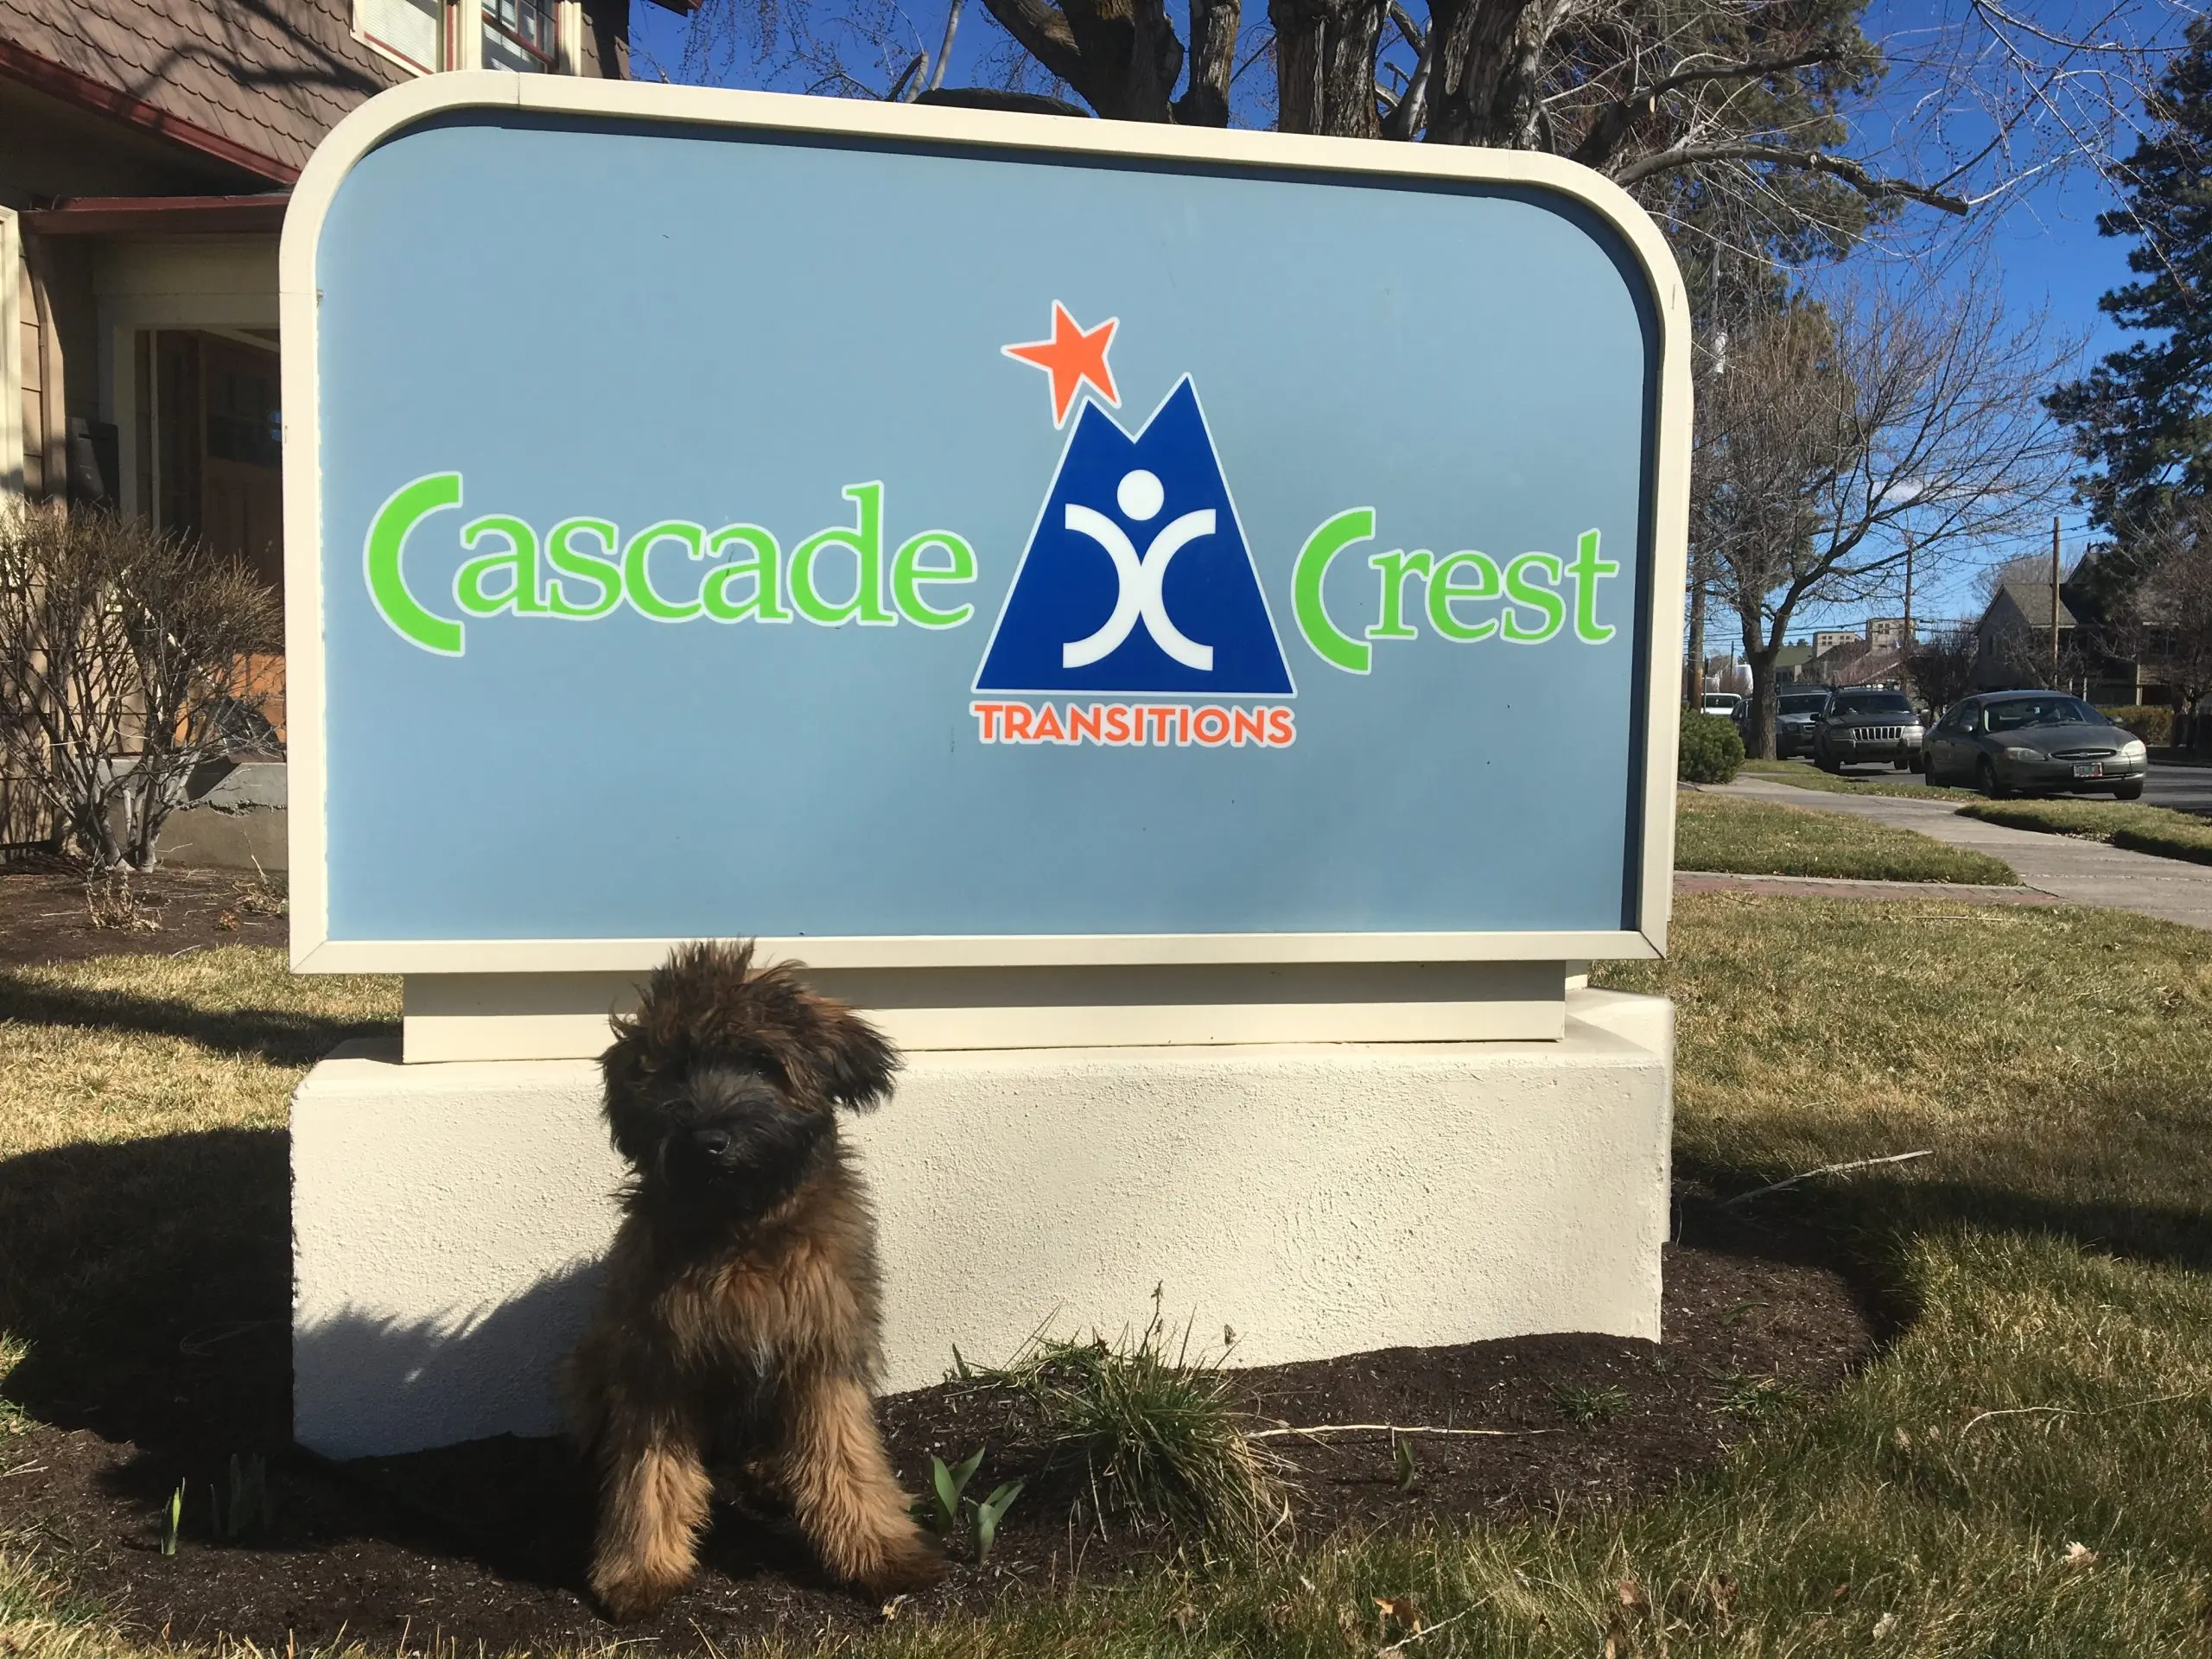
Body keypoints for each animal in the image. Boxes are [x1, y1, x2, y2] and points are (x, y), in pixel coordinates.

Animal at [562, 946, 942, 1628]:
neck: (743, 1233)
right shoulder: (657, 1359)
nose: (709, 1142)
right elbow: (648, 1475)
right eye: (675, 1071)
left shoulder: (822, 1349)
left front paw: (880, 1553)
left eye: (763, 1064)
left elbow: (848, 1457)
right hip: (589, 1363)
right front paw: (640, 1569)